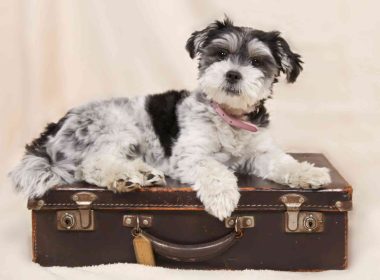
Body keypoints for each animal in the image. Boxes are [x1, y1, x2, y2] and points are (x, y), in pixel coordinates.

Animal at [8, 18, 330, 221]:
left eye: (256, 61)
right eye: (220, 53)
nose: (232, 74)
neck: (229, 118)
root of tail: (52, 129)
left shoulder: (260, 153)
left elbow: (284, 163)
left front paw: (309, 173)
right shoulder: (189, 155)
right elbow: (214, 170)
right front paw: (223, 198)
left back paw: (143, 174)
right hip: (115, 128)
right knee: (92, 165)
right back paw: (125, 177)